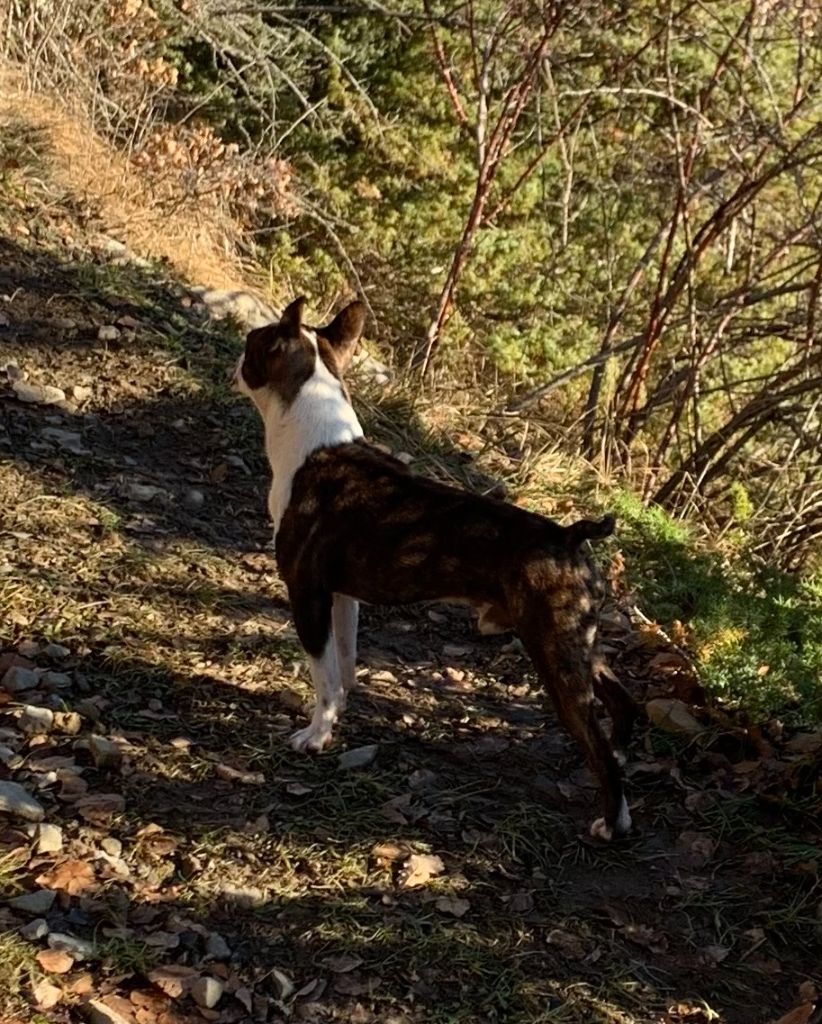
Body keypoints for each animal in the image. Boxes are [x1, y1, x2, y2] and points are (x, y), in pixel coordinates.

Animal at [234, 297, 636, 840]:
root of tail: (570, 535)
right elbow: (342, 664)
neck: (314, 442)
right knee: (621, 701)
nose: (237, 358)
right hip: (579, 642)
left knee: (595, 742)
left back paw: (612, 822)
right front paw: (339, 709)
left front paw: (316, 735)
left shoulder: (307, 594)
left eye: (253, 343)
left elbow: (321, 672)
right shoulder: (342, 597)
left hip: (554, 653)